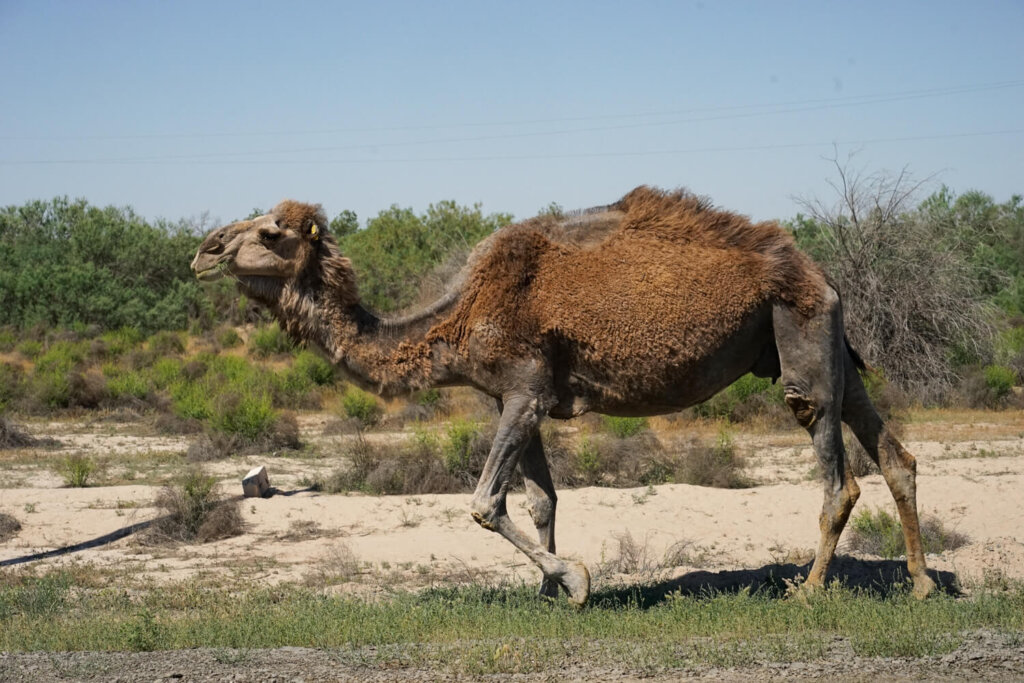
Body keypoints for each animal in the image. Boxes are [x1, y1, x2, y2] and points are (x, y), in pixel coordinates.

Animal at [191, 186, 936, 605]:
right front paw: (546, 589)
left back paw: (806, 591)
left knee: (834, 465)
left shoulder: (524, 388)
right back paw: (923, 583)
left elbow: (484, 502)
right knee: (894, 454)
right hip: (823, 338)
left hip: (797, 330)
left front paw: (575, 581)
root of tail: (818, 271)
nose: (204, 249)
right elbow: (540, 498)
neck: (459, 318)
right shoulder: (517, 398)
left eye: (271, 233)